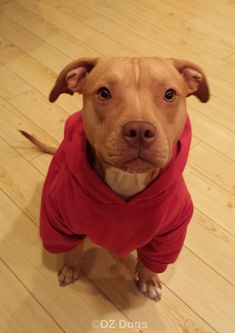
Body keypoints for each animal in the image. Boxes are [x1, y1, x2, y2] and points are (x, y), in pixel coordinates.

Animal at [22, 57, 209, 300]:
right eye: (104, 93)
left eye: (169, 94)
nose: (139, 130)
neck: (126, 180)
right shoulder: (58, 220)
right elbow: (72, 248)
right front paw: (71, 267)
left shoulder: (169, 234)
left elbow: (151, 260)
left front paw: (148, 278)